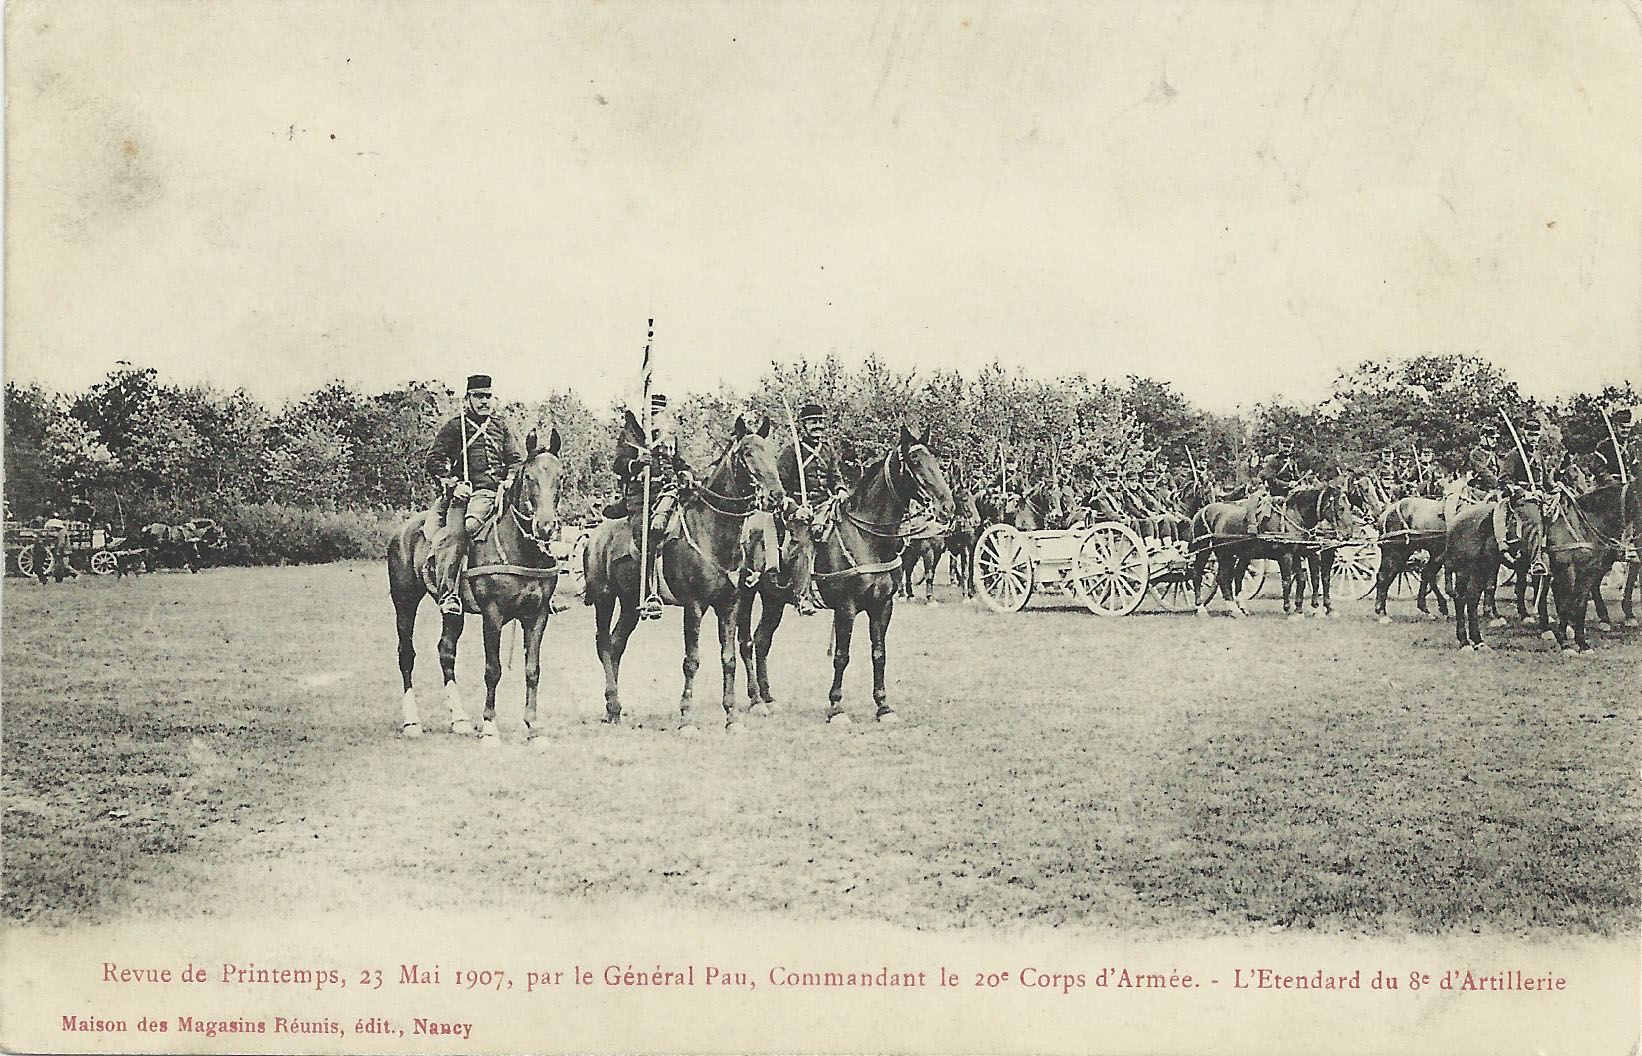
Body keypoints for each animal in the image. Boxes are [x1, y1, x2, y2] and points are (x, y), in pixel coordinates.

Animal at [387, 426, 568, 739]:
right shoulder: (492, 615)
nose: (545, 527)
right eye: (529, 477)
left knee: (446, 652)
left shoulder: (537, 615)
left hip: (452, 612)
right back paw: (412, 721)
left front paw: (533, 727)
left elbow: (532, 669)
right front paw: (490, 727)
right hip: (405, 603)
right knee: (406, 654)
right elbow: (492, 669)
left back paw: (459, 718)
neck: (520, 548)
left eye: (560, 476)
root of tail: (402, 531)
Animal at [584, 417, 788, 732]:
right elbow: (691, 661)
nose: (776, 496)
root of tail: (594, 537)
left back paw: (613, 710)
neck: (713, 530)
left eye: (771, 451)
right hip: (604, 599)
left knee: (616, 645)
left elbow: (728, 658)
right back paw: (612, 704)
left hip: (630, 604)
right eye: (747, 453)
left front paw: (731, 717)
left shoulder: (729, 605)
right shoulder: (694, 606)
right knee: (604, 645)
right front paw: (687, 717)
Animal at [814, 426, 958, 722]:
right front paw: (836, 707)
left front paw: (883, 705)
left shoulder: (882, 606)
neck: (866, 538)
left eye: (936, 459)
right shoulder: (845, 608)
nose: (947, 507)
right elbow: (842, 656)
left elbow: (878, 653)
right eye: (915, 461)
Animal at [1444, 489, 1543, 653]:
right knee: (1464, 597)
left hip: (1482, 568)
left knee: (1473, 596)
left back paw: (1476, 639)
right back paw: (1468, 641)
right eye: (1517, 517)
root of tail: (1454, 522)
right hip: (1467, 570)